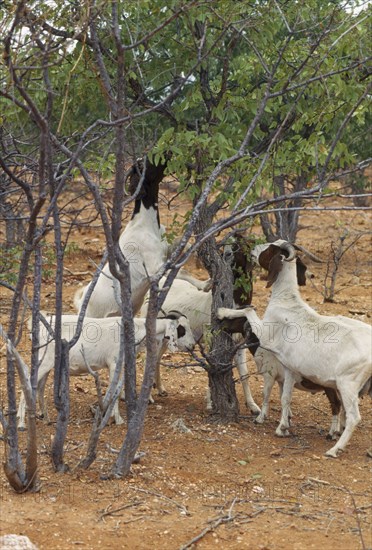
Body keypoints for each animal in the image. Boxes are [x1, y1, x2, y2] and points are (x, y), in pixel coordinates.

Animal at [17, 312, 195, 430]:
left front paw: (107, 415)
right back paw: (21, 423)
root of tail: (39, 325)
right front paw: (118, 419)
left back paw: (46, 418)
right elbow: (115, 390)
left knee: (39, 388)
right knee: (28, 382)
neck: (135, 331)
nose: (192, 345)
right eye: (182, 329)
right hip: (44, 361)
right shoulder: (114, 363)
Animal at [219, 239, 370, 460]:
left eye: (269, 249)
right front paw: (283, 427)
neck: (286, 300)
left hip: (347, 385)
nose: (253, 250)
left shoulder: (265, 336)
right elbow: (285, 398)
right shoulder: (289, 369)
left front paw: (223, 311)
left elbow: (248, 309)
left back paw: (335, 449)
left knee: (353, 417)